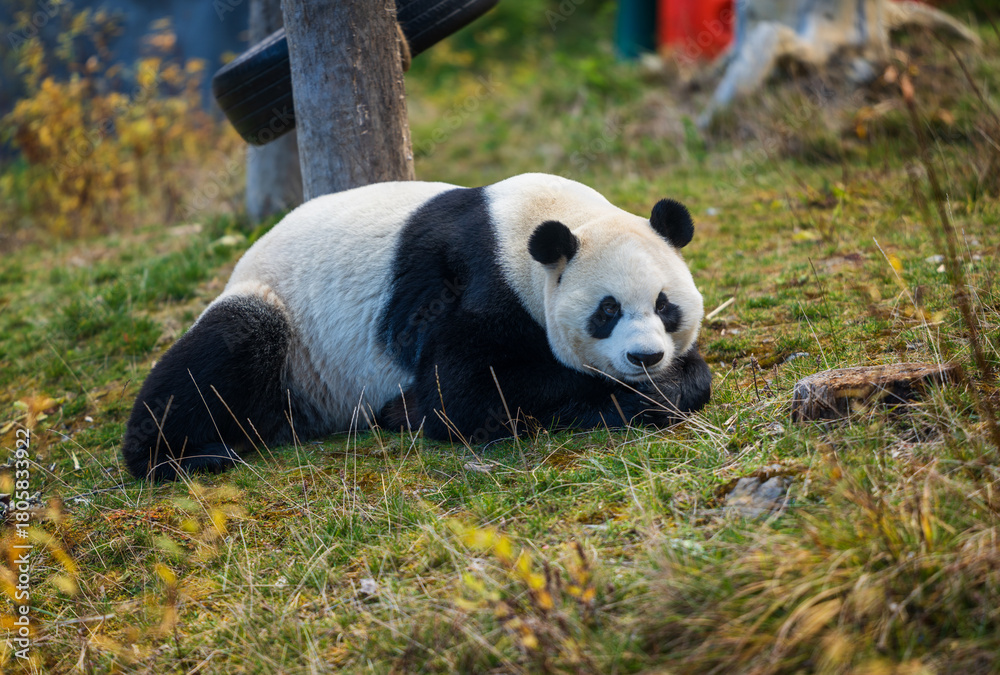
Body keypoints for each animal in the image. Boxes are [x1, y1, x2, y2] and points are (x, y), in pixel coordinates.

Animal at [122, 173, 711, 480]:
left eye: (664, 306)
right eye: (606, 311)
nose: (645, 358)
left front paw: (673, 380)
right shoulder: (477, 283)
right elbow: (465, 393)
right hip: (286, 323)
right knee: (229, 345)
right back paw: (180, 454)